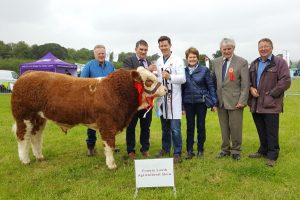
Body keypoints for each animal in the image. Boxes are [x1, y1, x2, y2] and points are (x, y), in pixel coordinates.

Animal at [11, 67, 166, 169]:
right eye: (149, 81)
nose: (166, 89)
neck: (116, 91)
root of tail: (28, 73)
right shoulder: (107, 124)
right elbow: (109, 144)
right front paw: (112, 164)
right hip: (24, 116)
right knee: (22, 137)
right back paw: (25, 160)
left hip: (39, 118)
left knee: (36, 137)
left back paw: (39, 157)